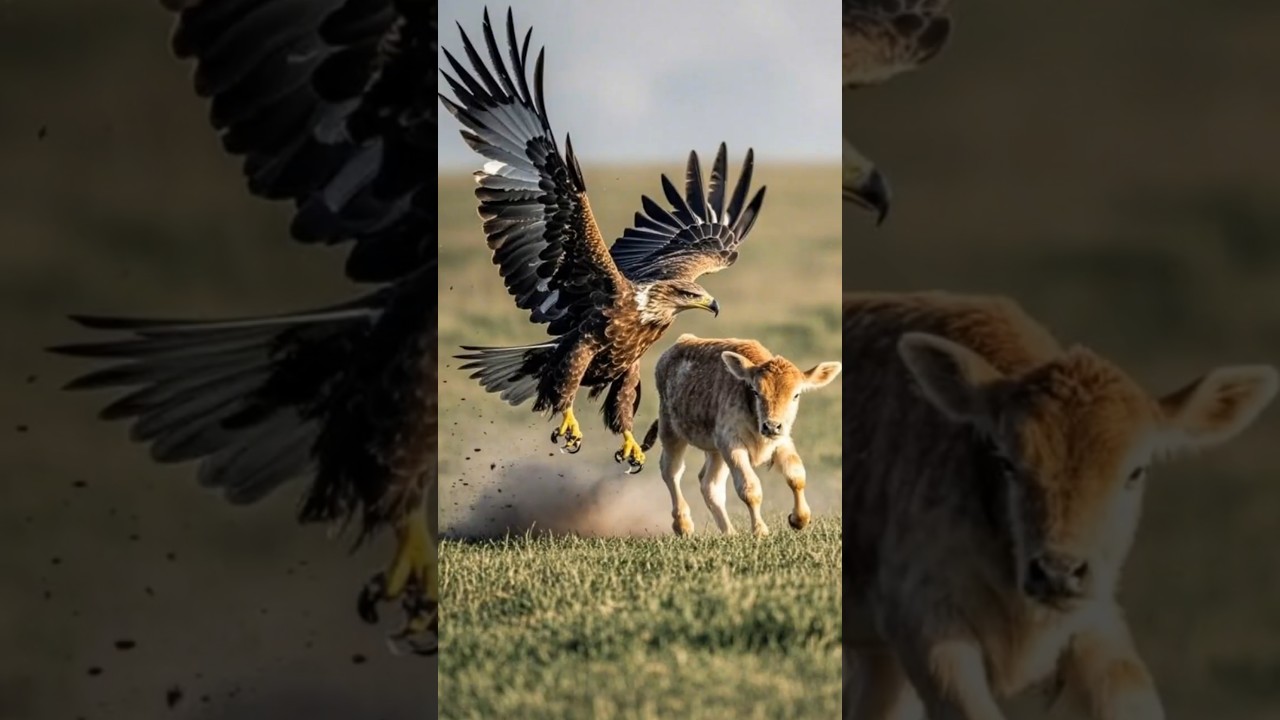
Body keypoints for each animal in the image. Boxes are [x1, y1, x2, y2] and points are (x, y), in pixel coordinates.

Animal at [640, 334, 842, 537]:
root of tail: (682, 341)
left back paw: (729, 532)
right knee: (671, 471)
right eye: (755, 391)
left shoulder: (781, 441)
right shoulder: (732, 445)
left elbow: (797, 475)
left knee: (709, 484)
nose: (771, 426)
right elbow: (750, 488)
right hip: (671, 431)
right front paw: (760, 530)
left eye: (796, 395)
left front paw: (799, 519)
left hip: (715, 453)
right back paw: (684, 525)